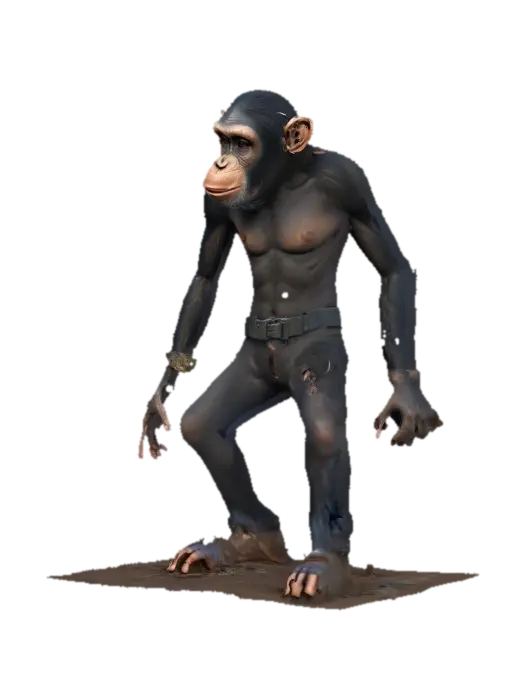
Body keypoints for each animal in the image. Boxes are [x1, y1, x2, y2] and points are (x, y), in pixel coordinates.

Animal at [137, 88, 443, 600]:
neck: (284, 180)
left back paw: (321, 563)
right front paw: (161, 400)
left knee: (322, 434)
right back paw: (253, 541)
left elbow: (391, 268)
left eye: (242, 144)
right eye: (220, 141)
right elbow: (203, 274)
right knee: (202, 428)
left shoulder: (349, 181)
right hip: (256, 365)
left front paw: (405, 398)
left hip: (312, 360)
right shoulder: (215, 208)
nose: (219, 162)